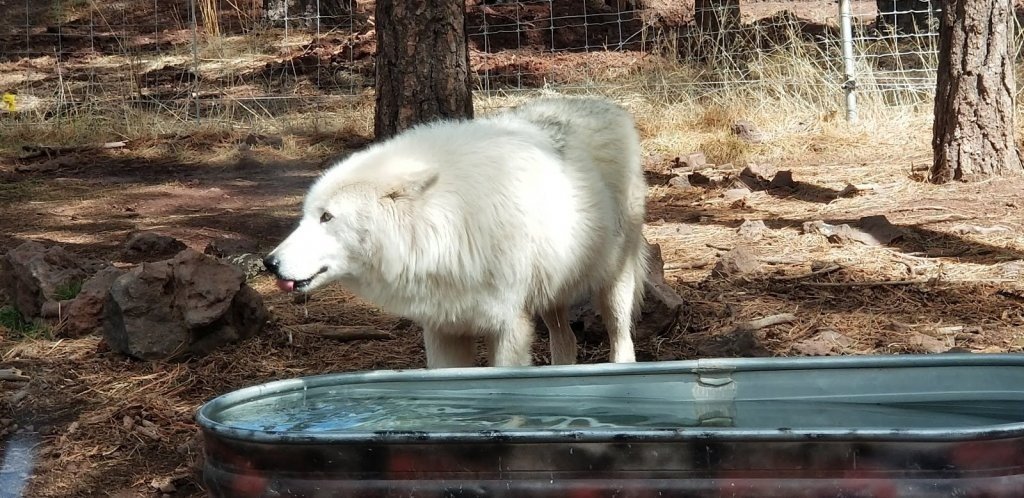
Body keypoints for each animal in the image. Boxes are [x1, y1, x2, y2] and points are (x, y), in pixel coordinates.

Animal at [264, 98, 647, 368]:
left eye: (327, 217)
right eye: (306, 216)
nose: (269, 263)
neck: (449, 225)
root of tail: (613, 107)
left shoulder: (509, 325)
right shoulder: (442, 329)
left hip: (612, 285)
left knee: (622, 340)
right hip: (552, 294)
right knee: (565, 341)